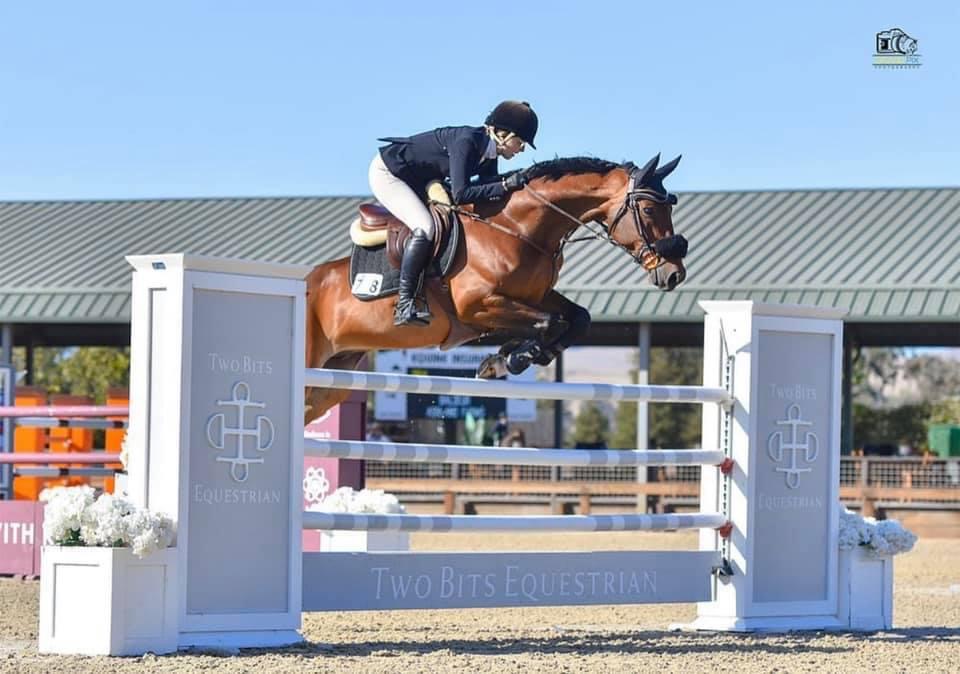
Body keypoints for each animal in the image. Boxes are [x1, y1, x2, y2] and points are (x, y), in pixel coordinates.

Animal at [304, 153, 688, 424]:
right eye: (649, 209)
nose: (674, 274)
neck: (517, 227)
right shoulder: (478, 306)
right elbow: (549, 322)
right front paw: (510, 359)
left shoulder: (533, 297)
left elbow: (577, 318)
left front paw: (504, 359)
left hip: (328, 382)